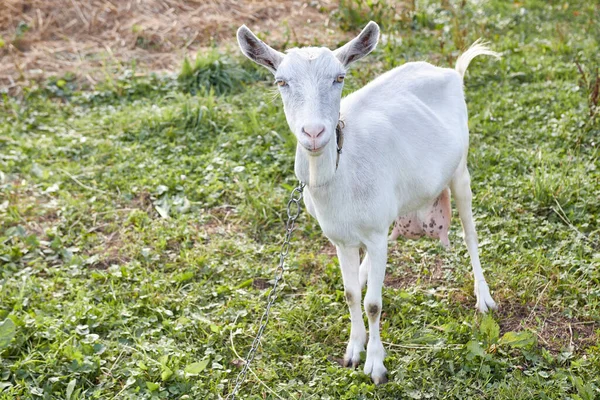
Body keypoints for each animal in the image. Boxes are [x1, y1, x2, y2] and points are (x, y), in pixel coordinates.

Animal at [237, 21, 500, 384]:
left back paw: (484, 297)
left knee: (471, 233)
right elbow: (350, 295)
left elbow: (373, 304)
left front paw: (375, 364)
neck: (342, 170)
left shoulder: (374, 237)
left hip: (460, 170)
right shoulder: (340, 239)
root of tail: (451, 72)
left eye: (339, 77)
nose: (314, 132)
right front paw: (353, 348)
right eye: (281, 81)